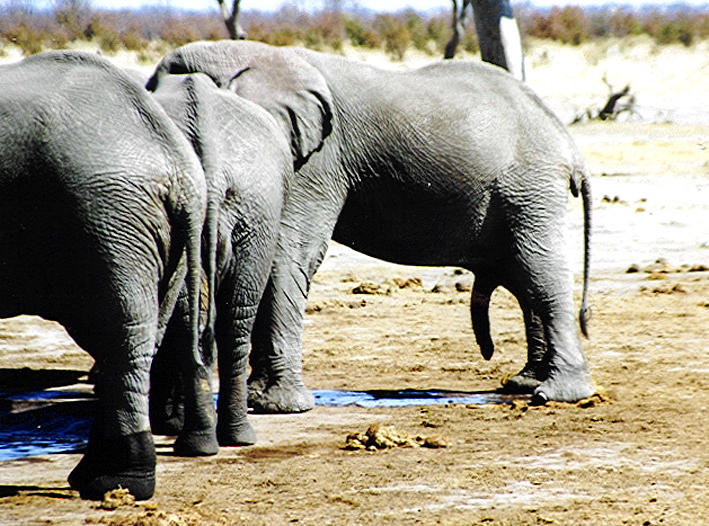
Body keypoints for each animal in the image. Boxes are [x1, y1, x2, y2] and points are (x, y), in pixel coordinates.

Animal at [147, 70, 294, 452]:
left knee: (205, 320)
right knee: (226, 318)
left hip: (248, 215)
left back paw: (204, 439)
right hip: (256, 212)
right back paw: (223, 438)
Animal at [149, 39, 596, 418]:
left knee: (539, 271)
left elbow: (288, 253)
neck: (255, 56)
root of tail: (571, 147)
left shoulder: (317, 157)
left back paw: (556, 394)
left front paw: (278, 407)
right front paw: (266, 401)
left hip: (530, 185)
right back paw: (524, 383)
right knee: (522, 276)